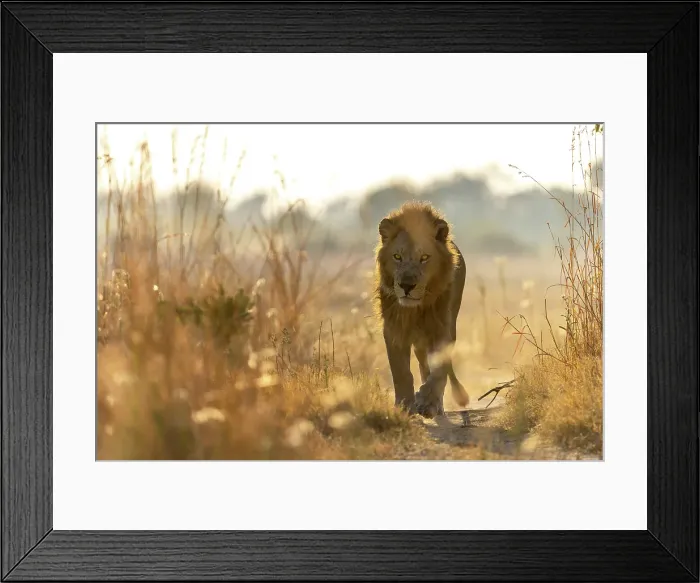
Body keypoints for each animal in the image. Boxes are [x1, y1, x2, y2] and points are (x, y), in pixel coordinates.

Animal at [373, 201, 469, 418]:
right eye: (397, 256)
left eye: (424, 257)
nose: (406, 286)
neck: (415, 310)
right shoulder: (393, 329)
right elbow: (401, 372)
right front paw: (404, 405)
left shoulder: (441, 328)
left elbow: (440, 369)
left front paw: (427, 401)